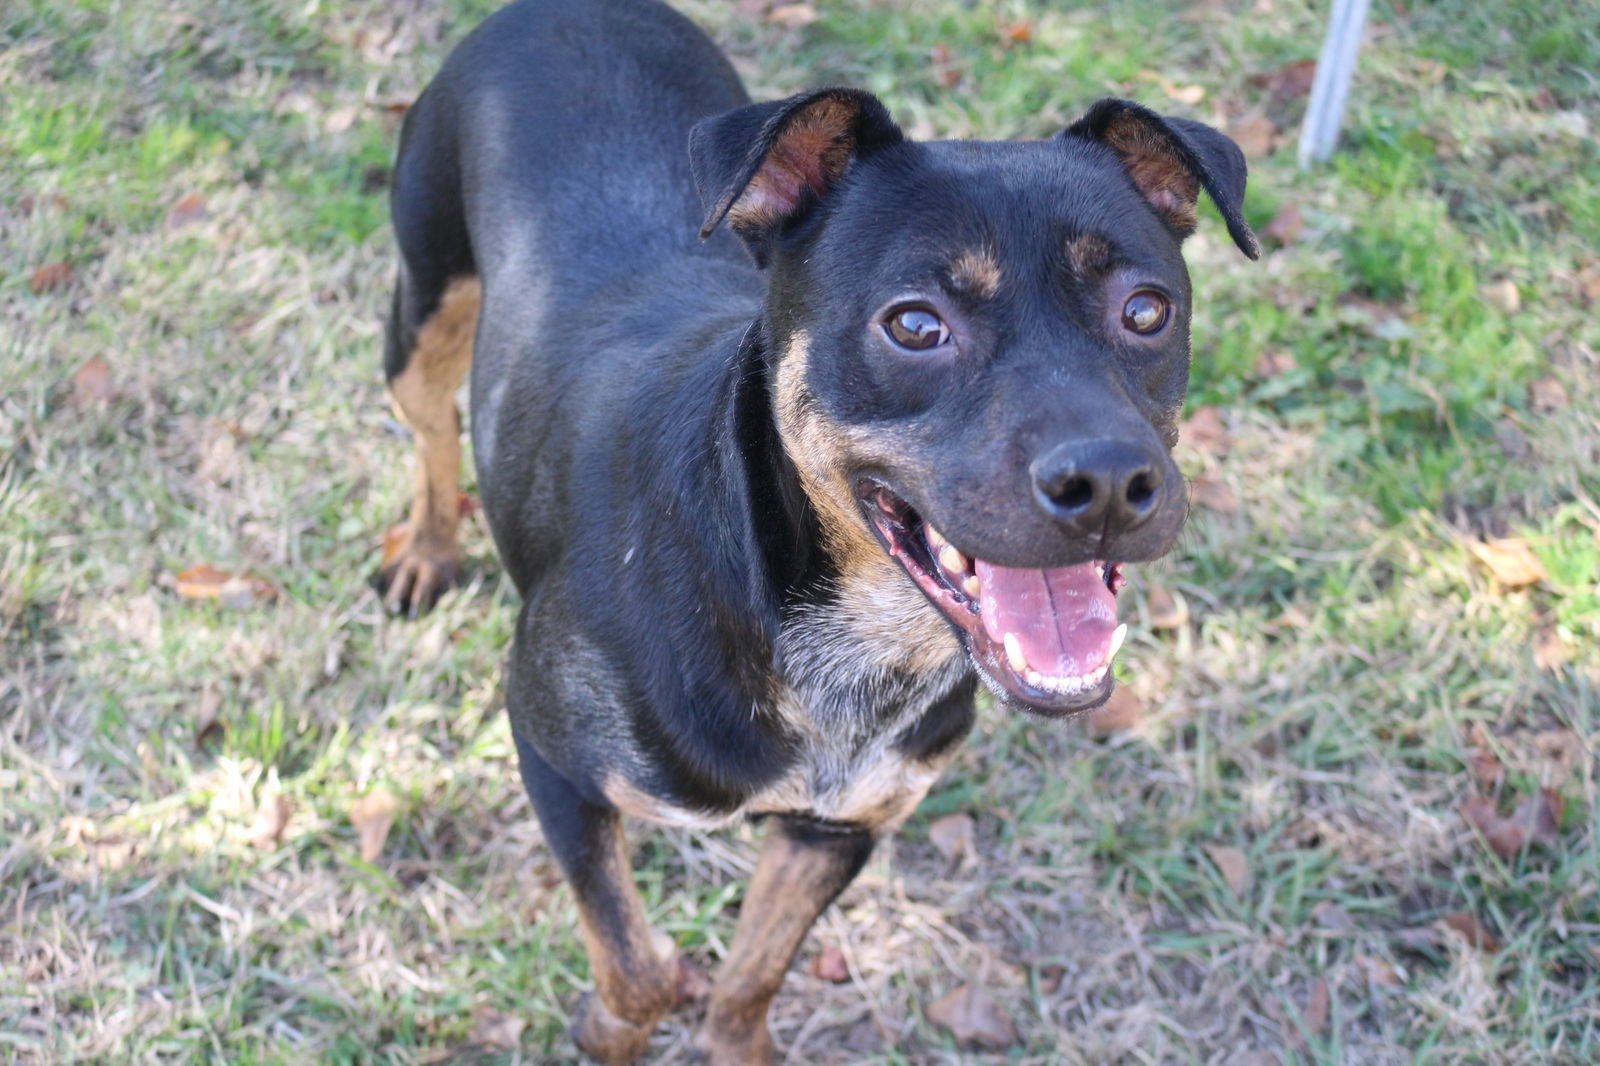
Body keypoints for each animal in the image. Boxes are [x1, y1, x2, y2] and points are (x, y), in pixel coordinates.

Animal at [371, 0, 1248, 1056]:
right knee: (431, 426)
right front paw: (609, 1034)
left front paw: (732, 1045)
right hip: (424, 295)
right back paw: (426, 550)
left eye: (1147, 310)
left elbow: (752, 975)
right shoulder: (554, 765)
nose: (1112, 483)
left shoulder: (838, 829)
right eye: (915, 325)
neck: (840, 646)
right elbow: (637, 967)